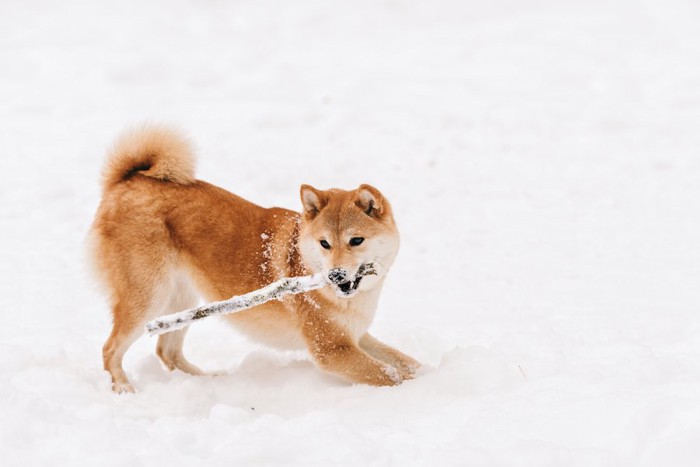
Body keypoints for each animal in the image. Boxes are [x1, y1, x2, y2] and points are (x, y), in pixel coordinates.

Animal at [89, 126, 418, 394]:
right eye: (324, 243)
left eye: (356, 240)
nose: (335, 275)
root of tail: (128, 181)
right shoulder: (332, 348)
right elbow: (391, 375)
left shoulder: (355, 336)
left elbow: (406, 362)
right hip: (149, 298)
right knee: (109, 349)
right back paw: (123, 389)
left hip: (181, 301)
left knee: (167, 352)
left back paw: (207, 381)